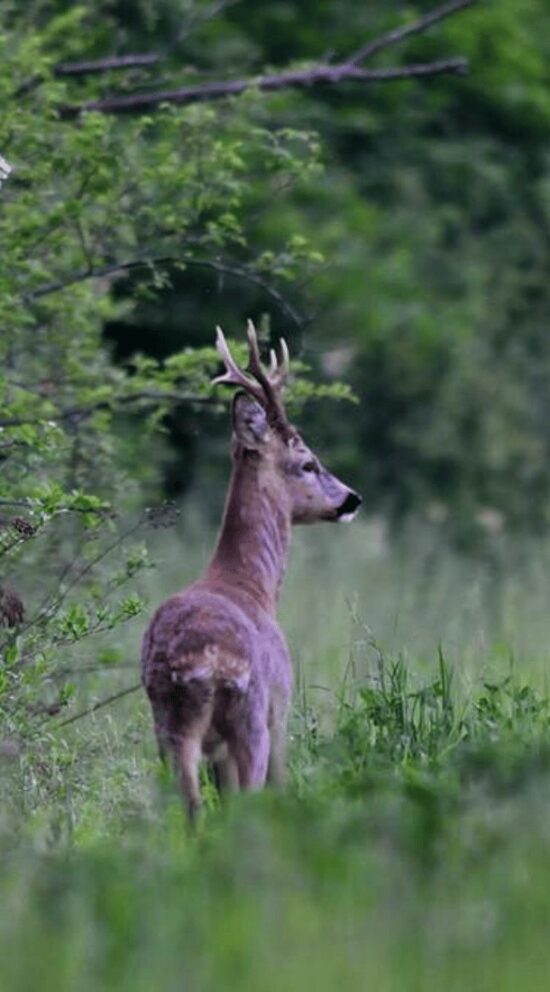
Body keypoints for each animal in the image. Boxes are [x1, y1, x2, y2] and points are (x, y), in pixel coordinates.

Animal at [141, 322, 362, 816]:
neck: (253, 585)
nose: (352, 499)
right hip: (250, 721)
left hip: (169, 725)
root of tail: (203, 663)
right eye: (308, 463)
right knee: (245, 801)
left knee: (188, 806)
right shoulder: (281, 707)